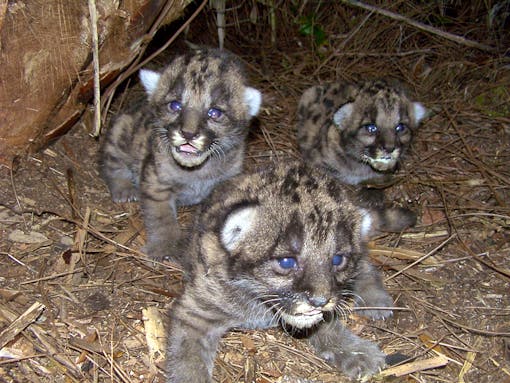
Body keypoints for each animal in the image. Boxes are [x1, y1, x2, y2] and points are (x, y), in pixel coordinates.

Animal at [100, 48, 260, 262]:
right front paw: (165, 248)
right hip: (120, 132)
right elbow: (162, 218)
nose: (188, 134)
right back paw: (123, 189)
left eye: (214, 112)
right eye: (175, 105)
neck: (197, 172)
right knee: (111, 163)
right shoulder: (156, 182)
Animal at [167, 163, 410, 383]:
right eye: (286, 262)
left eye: (337, 260)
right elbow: (189, 359)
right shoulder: (196, 310)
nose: (320, 301)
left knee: (365, 264)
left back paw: (376, 300)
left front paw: (356, 351)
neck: (259, 302)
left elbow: (326, 325)